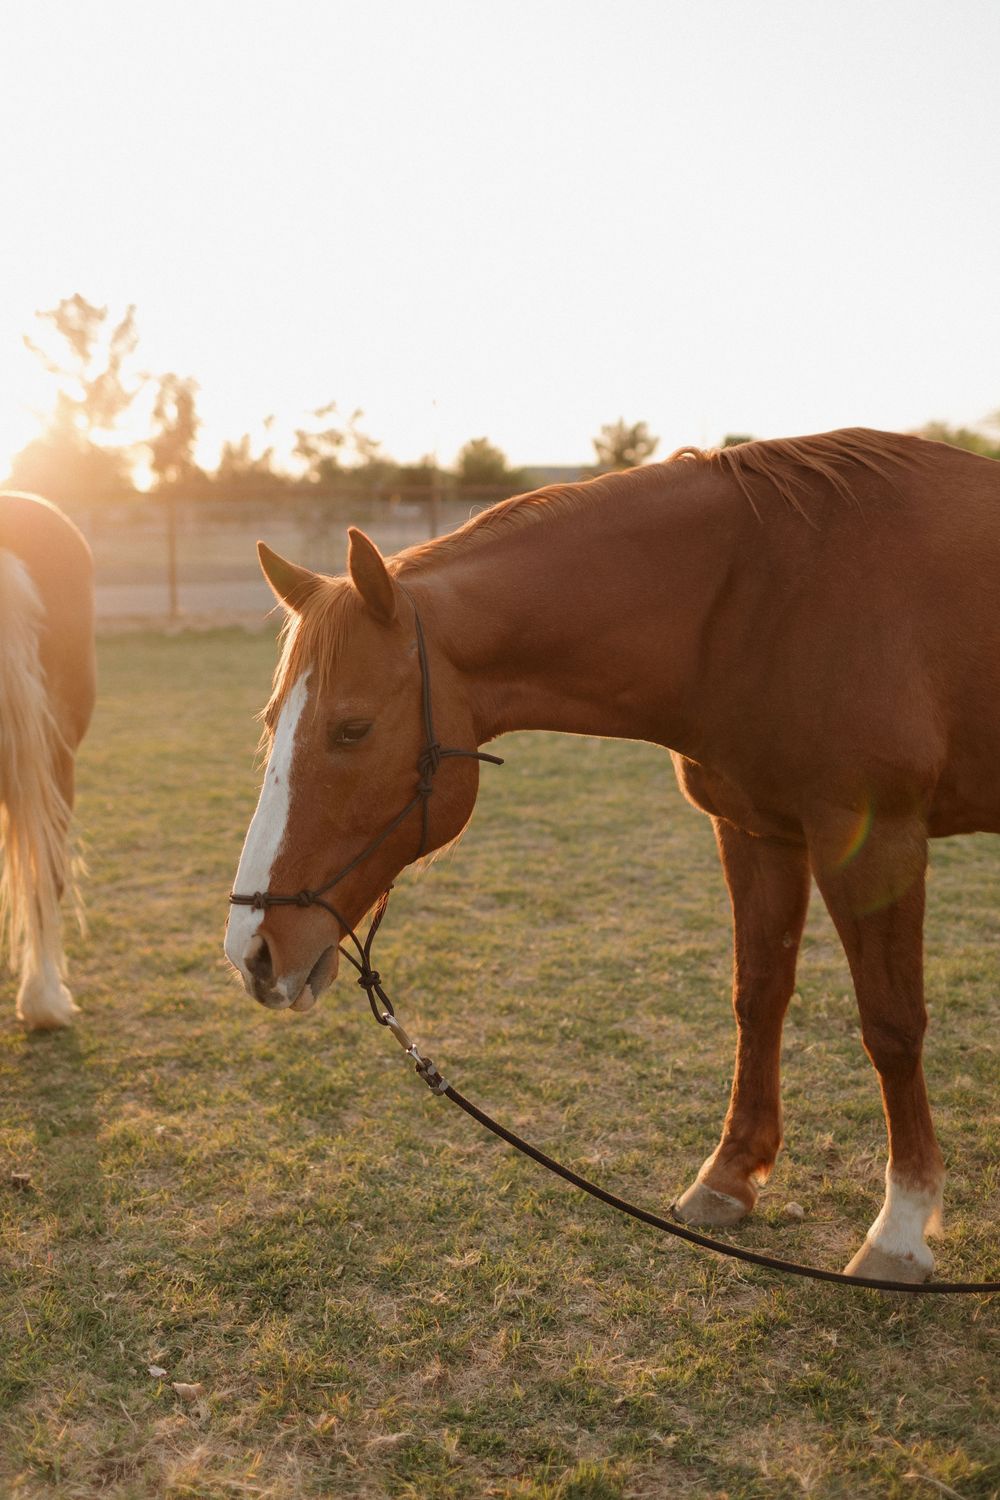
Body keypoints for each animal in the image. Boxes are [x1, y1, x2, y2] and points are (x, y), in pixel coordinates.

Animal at [225, 428, 1000, 1284]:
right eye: (273, 720)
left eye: (351, 729)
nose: (253, 950)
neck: (761, 598)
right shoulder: (756, 832)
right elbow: (758, 997)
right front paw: (730, 1176)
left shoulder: (873, 839)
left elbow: (891, 1024)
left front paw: (901, 1229)